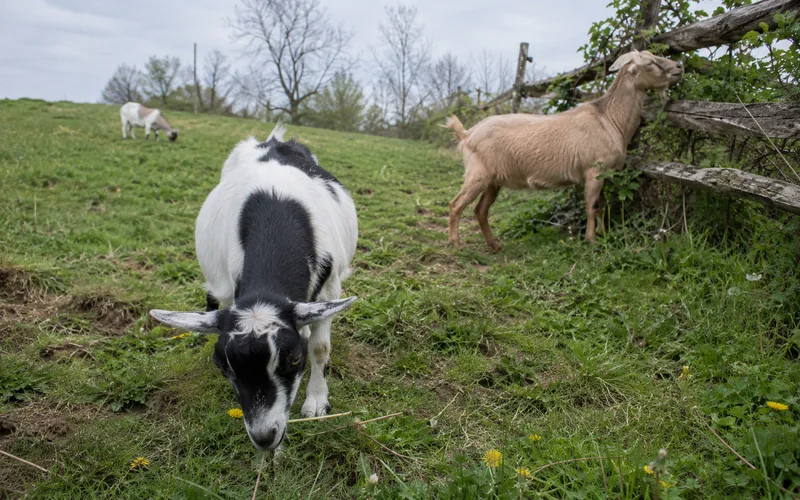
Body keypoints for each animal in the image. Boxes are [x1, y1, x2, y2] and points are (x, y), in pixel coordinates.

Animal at [149, 124, 358, 451]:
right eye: (223, 366)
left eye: (293, 359)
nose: (264, 437)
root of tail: (273, 139)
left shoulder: (330, 289)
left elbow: (320, 347)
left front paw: (316, 402)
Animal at [444, 50, 683, 251]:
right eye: (650, 62)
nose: (679, 67)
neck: (609, 119)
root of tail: (467, 133)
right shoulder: (593, 170)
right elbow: (592, 205)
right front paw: (591, 241)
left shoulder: (604, 173)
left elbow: (603, 205)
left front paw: (604, 235)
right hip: (478, 173)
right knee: (455, 205)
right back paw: (456, 245)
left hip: (493, 180)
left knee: (480, 210)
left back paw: (494, 245)